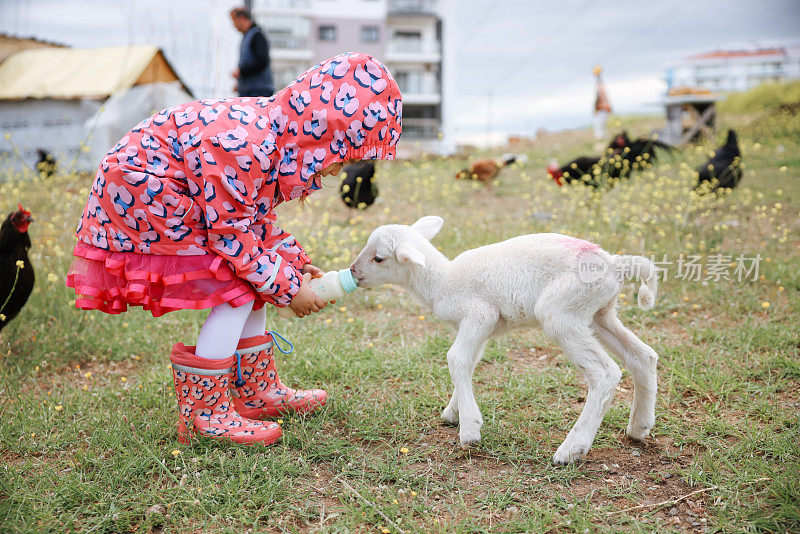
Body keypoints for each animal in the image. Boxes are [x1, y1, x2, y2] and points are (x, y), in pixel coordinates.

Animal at [354, 216, 660, 466]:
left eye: (379, 258)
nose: (354, 272)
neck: (441, 282)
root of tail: (614, 264)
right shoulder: (480, 327)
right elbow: (469, 361)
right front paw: (453, 412)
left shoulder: (479, 314)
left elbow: (456, 358)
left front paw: (470, 430)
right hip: (599, 313)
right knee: (643, 357)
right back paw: (639, 428)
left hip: (562, 310)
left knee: (605, 373)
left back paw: (571, 449)